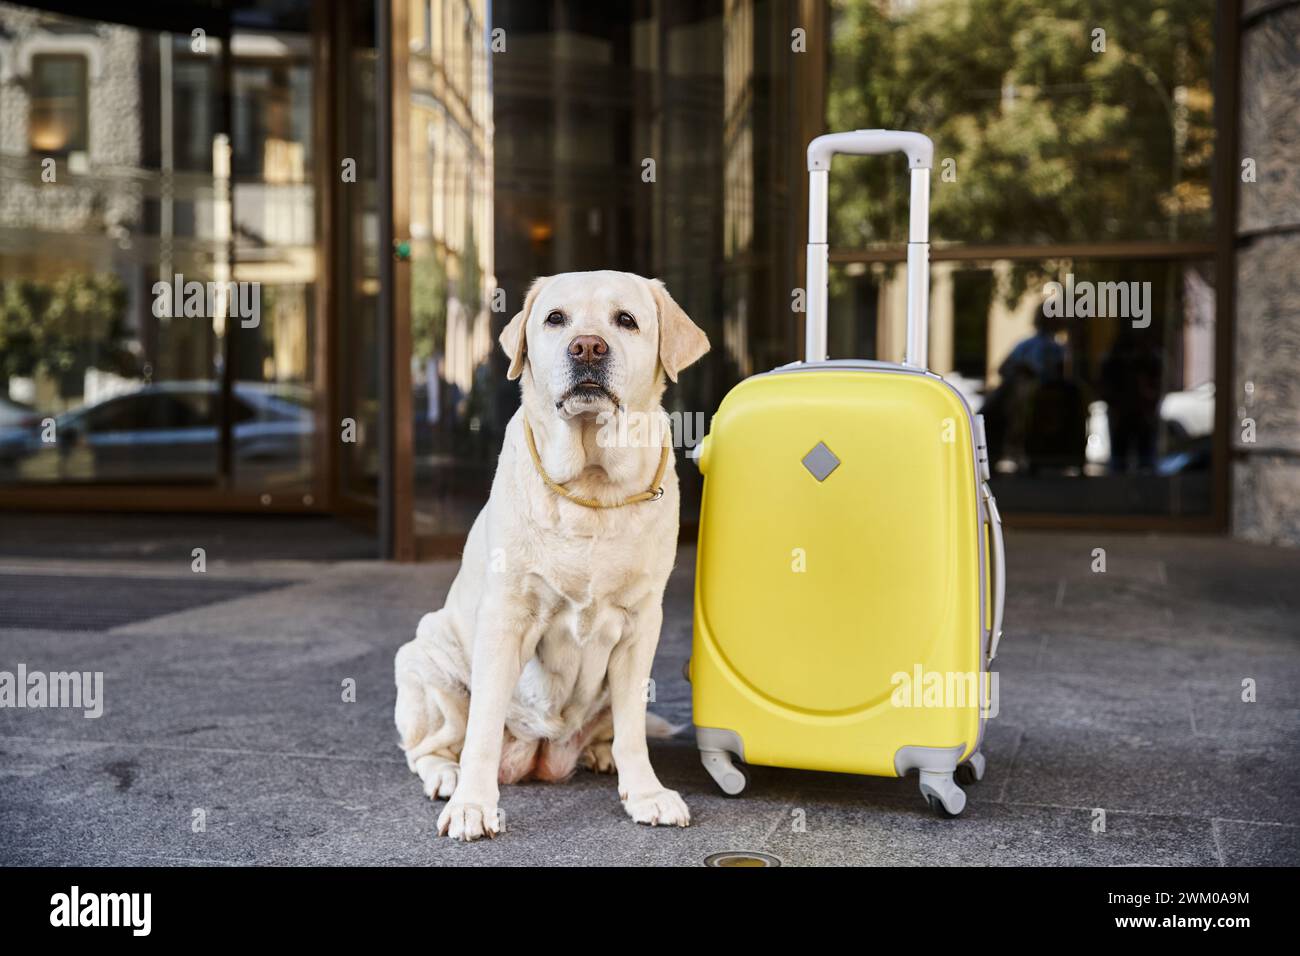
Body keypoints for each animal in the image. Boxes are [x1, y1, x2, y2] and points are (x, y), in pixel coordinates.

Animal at [392, 270, 712, 842]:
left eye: (625, 320)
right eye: (555, 318)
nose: (587, 347)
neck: (592, 488)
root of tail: (538, 756)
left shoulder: (642, 624)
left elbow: (633, 730)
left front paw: (645, 792)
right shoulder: (506, 618)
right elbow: (482, 728)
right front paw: (474, 804)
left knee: (612, 729)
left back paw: (602, 755)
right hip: (425, 656)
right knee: (431, 746)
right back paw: (447, 776)